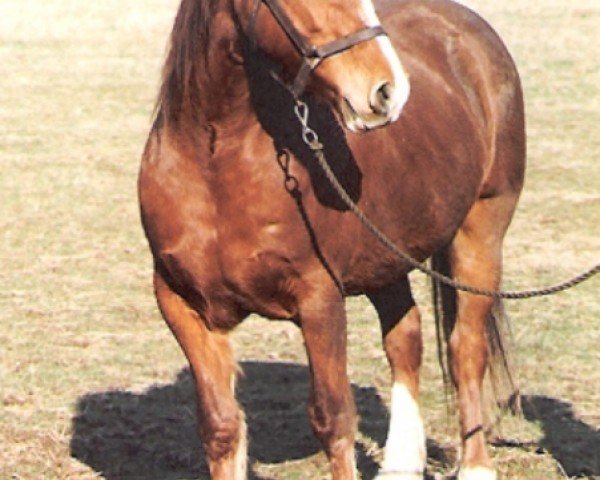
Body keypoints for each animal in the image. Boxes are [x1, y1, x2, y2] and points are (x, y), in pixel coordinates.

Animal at [138, 0, 524, 476]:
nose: (389, 90)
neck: (215, 167)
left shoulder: (319, 301)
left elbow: (333, 420)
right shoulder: (181, 303)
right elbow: (221, 426)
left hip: (480, 234)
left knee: (465, 348)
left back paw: (475, 465)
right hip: (385, 258)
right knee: (405, 339)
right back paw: (401, 462)